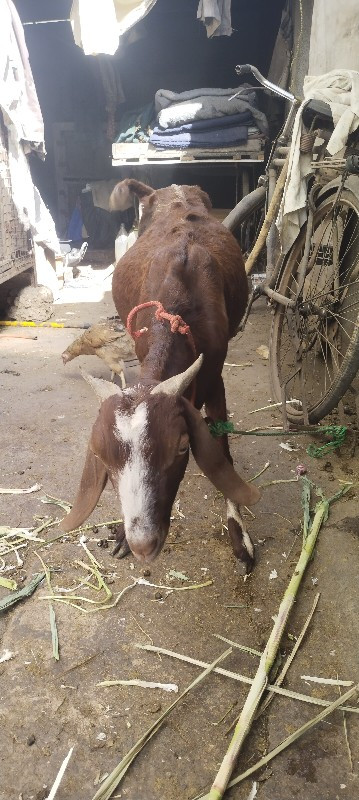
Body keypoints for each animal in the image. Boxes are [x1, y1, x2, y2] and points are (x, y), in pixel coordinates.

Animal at [64, 180, 262, 572]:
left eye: (182, 446)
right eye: (102, 456)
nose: (144, 544)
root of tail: (172, 187)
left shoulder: (215, 375)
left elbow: (222, 448)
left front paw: (239, 534)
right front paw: (121, 535)